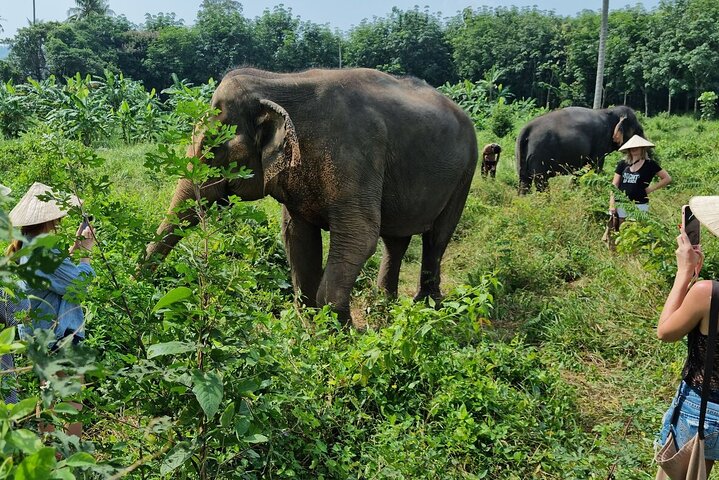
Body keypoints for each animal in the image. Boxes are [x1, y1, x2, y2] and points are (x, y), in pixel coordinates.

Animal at [145, 67, 478, 323]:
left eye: (213, 151)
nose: (151, 298)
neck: (279, 82)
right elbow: (297, 236)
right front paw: (311, 331)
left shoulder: (354, 157)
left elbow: (359, 234)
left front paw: (340, 338)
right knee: (395, 240)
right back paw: (386, 307)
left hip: (465, 173)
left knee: (437, 237)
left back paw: (428, 308)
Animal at [515, 106, 644, 193]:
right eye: (639, 131)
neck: (609, 111)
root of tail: (525, 129)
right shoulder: (601, 141)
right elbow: (594, 167)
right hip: (539, 155)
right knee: (541, 182)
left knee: (524, 181)